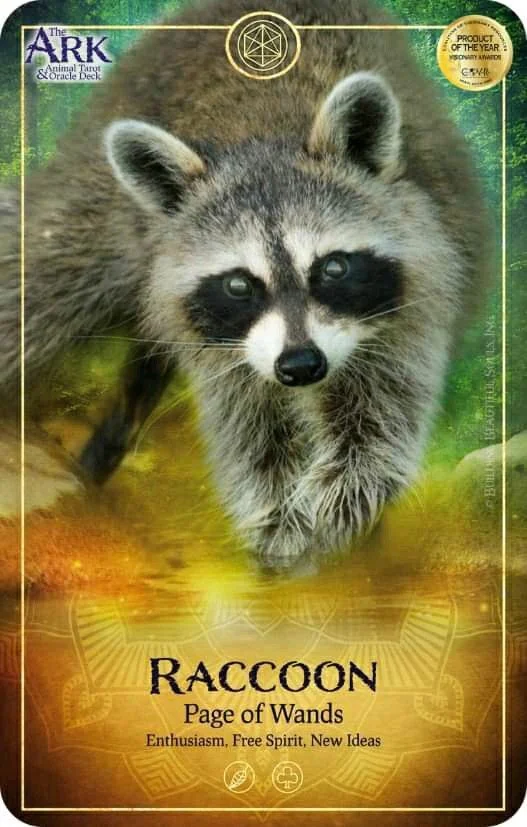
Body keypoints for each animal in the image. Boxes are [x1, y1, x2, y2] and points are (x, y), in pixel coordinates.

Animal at [0, 0, 489, 567]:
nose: (300, 366)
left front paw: (343, 497)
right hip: (101, 201)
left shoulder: (423, 286)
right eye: (239, 285)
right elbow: (251, 429)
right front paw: (277, 516)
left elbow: (381, 412)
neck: (269, 135)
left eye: (333, 269)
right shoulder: (222, 345)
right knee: (38, 275)